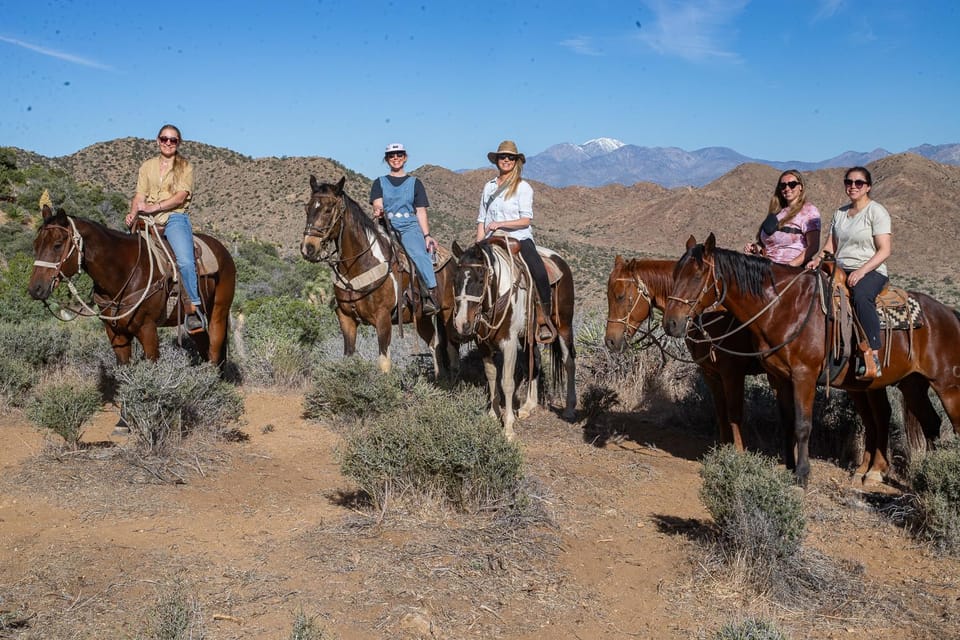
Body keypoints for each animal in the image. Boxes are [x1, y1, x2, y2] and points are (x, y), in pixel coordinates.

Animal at [27, 205, 237, 364]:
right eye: (35, 245)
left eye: (58, 244)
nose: (35, 289)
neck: (124, 273)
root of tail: (223, 250)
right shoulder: (116, 334)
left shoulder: (147, 330)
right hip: (193, 323)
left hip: (218, 312)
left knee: (215, 350)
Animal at [300, 175, 458, 376]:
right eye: (308, 208)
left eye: (328, 209)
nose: (308, 248)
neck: (358, 266)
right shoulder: (346, 318)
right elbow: (348, 360)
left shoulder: (383, 318)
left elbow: (384, 363)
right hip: (422, 318)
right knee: (434, 344)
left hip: (447, 311)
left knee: (452, 347)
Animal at [452, 235, 576, 440]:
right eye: (455, 280)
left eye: (480, 280)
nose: (462, 323)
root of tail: (559, 259)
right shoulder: (483, 344)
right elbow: (491, 376)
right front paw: (493, 414)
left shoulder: (509, 343)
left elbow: (507, 382)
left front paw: (508, 428)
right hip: (529, 335)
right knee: (535, 360)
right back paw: (528, 406)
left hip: (564, 325)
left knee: (569, 362)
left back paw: (569, 409)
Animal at [664, 234, 960, 484]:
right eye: (675, 274)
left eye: (697, 276)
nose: (671, 323)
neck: (783, 307)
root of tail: (949, 313)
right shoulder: (779, 377)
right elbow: (786, 421)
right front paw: (788, 465)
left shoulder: (801, 376)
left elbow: (802, 424)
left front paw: (802, 473)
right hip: (907, 385)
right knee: (923, 421)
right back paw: (905, 474)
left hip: (946, 386)